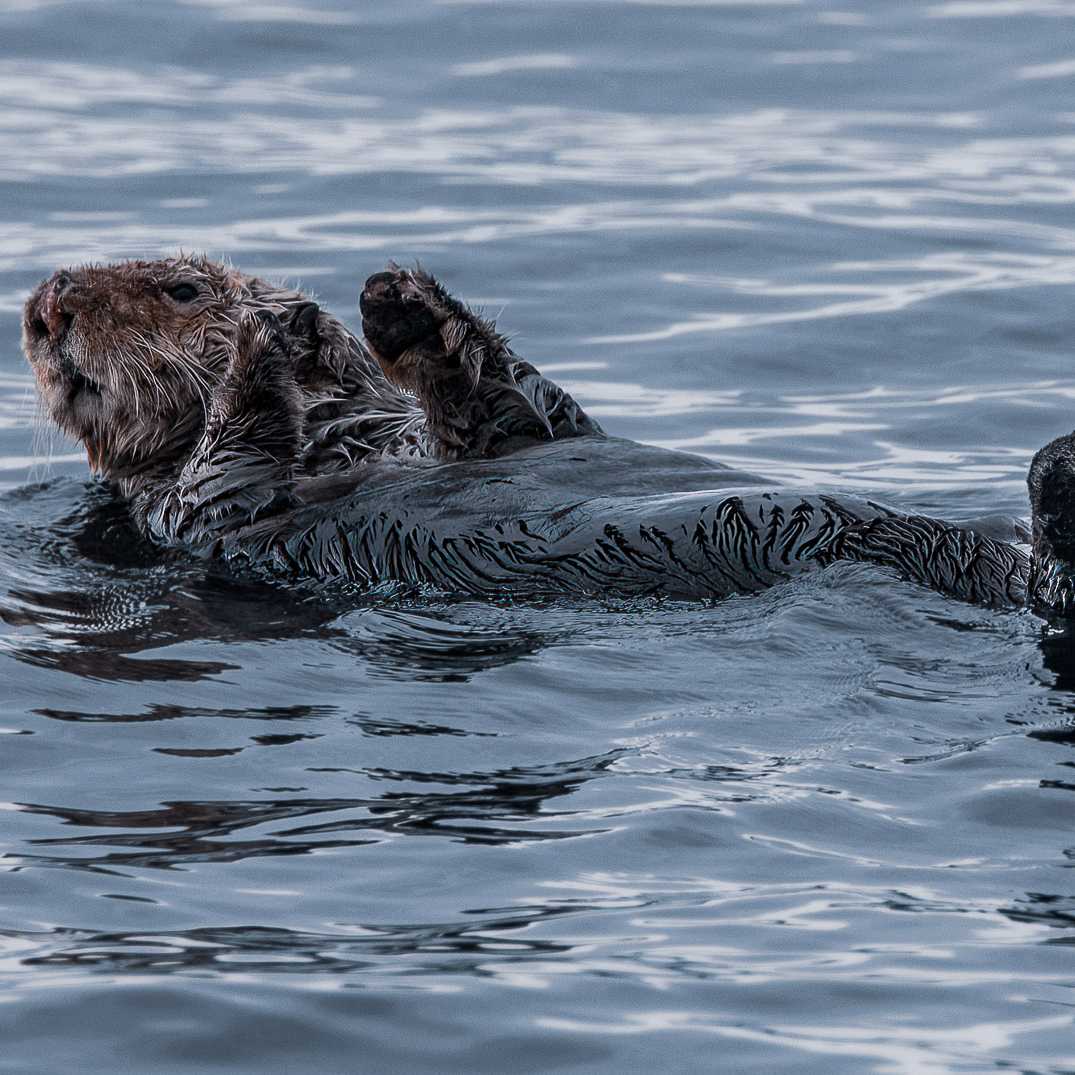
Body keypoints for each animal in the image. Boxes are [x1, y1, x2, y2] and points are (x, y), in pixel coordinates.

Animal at [20, 254, 1075, 613]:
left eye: (177, 286)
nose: (45, 308)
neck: (340, 435)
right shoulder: (193, 513)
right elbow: (225, 471)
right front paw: (261, 341)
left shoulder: (497, 430)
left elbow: (519, 408)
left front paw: (398, 305)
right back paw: (1059, 473)